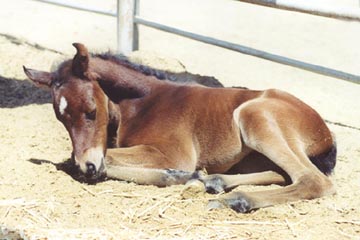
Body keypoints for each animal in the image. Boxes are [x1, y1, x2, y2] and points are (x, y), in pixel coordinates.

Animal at [23, 43, 336, 212]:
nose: (88, 165)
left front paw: (179, 175)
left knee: (312, 179)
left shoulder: (173, 153)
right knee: (282, 173)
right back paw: (215, 182)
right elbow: (80, 160)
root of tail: (324, 129)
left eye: (91, 110)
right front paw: (186, 177)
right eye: (61, 118)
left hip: (254, 116)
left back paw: (237, 199)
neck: (143, 102)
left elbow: (90, 160)